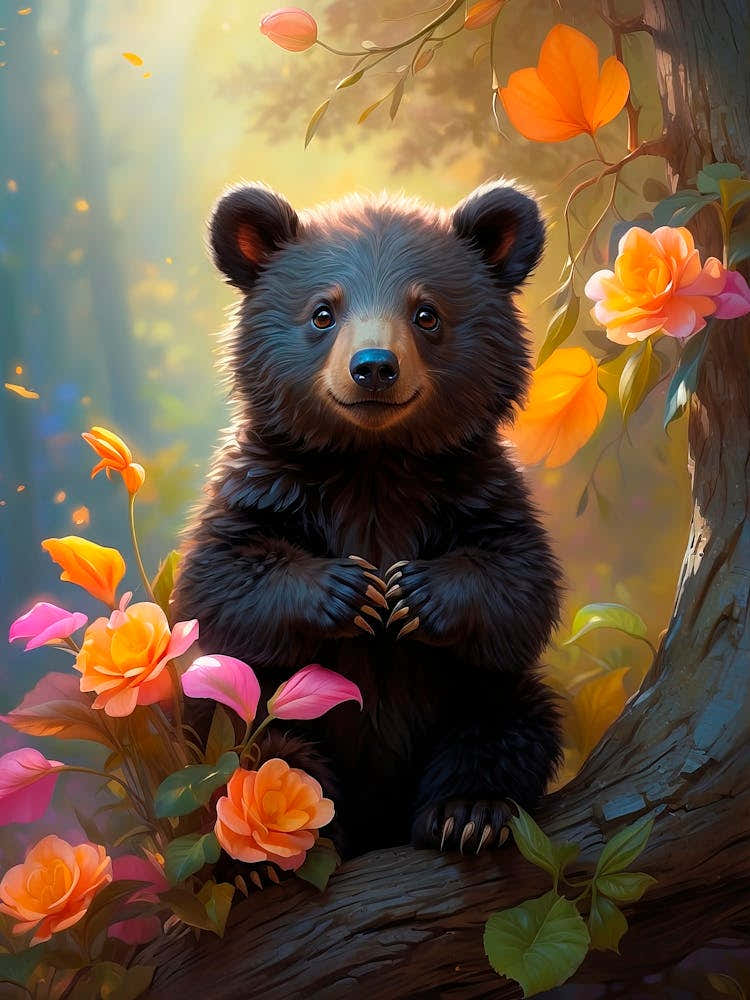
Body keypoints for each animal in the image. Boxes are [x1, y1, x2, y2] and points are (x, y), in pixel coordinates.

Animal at [171, 180, 562, 860]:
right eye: (323, 312)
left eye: (426, 314)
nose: (375, 366)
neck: (372, 462)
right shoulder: (263, 485)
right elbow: (221, 581)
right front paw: (355, 592)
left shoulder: (477, 486)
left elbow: (519, 583)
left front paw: (409, 592)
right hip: (245, 712)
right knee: (247, 748)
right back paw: (277, 850)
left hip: (480, 698)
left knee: (510, 724)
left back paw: (467, 813)